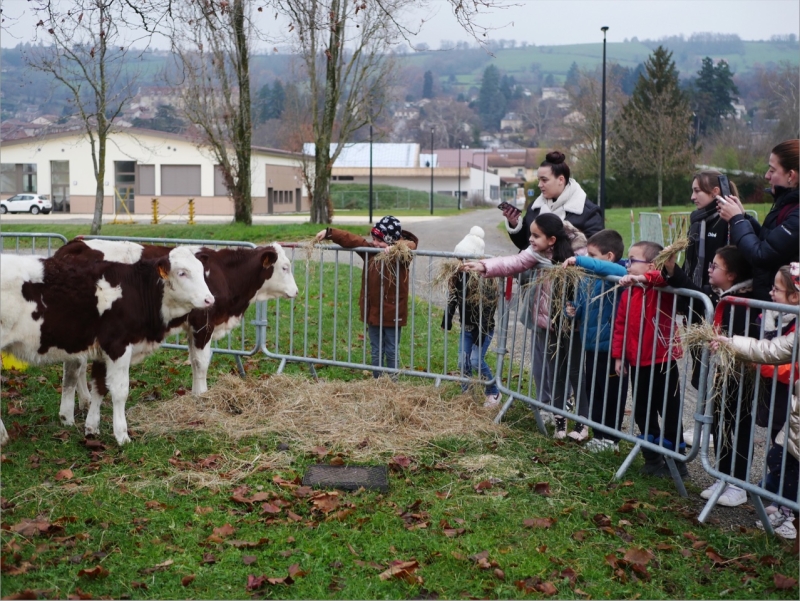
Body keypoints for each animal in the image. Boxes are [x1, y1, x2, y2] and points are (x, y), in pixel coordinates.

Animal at [0, 245, 214, 446]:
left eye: (201, 270)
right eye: (182, 272)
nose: (210, 299)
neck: (135, 290)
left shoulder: (101, 351)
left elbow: (99, 387)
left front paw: (92, 427)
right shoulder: (118, 345)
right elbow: (120, 391)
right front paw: (122, 435)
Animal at [54, 239, 296, 426]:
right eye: (285, 267)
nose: (296, 291)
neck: (224, 274)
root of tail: (76, 244)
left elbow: (196, 361)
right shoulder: (202, 324)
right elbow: (201, 362)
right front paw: (202, 395)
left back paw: (84, 401)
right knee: (75, 366)